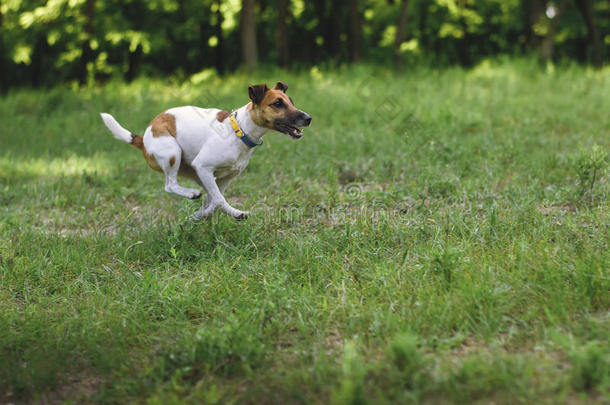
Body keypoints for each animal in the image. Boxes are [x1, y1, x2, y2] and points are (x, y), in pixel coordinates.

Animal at [100, 81, 312, 219]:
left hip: (194, 172)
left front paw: (199, 215)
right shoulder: (203, 167)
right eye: (277, 103)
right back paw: (191, 194)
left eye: (291, 101)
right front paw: (235, 213)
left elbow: (215, 200)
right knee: (170, 185)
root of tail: (143, 139)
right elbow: (218, 200)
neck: (238, 130)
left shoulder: (223, 177)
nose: (308, 118)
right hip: (173, 154)